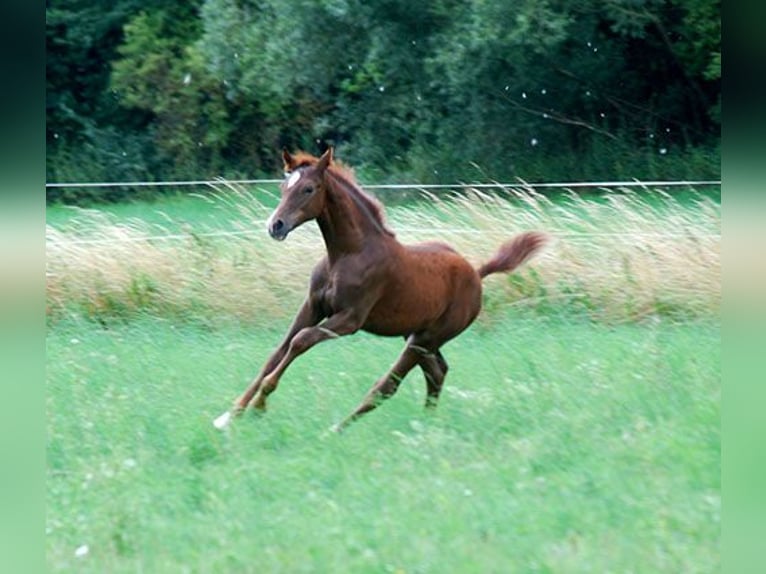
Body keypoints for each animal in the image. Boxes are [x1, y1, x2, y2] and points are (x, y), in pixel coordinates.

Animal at [213, 147, 547, 432]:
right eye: (283, 187)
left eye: (308, 189)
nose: (276, 226)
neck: (347, 253)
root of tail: (476, 273)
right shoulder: (312, 306)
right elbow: (277, 351)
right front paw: (231, 415)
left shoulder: (350, 319)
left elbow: (300, 341)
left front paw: (259, 404)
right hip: (416, 335)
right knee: (437, 371)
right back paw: (427, 424)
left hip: (427, 337)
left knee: (389, 385)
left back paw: (337, 429)